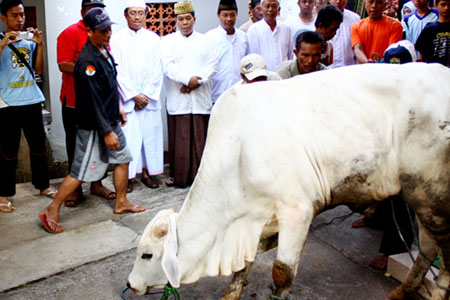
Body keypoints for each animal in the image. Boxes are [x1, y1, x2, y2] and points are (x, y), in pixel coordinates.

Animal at [126, 63, 450, 300]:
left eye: (147, 254)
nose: (130, 284)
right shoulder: (254, 219)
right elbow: (243, 267)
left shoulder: (298, 211)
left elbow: (282, 273)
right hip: (419, 196)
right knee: (427, 248)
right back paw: (402, 291)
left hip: (434, 197)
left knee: (443, 254)